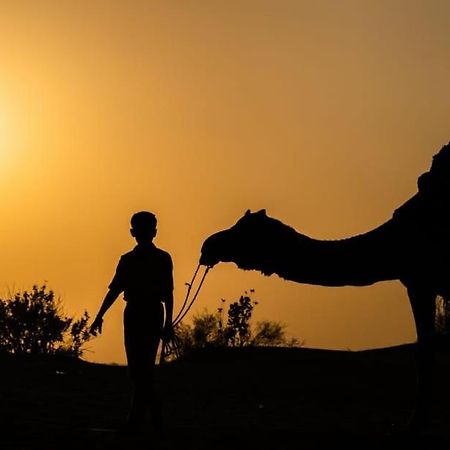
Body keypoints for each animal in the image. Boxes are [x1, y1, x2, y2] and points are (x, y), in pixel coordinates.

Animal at [200, 142, 450, 428]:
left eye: (242, 229)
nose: (208, 245)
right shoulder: (420, 282)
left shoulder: (421, 280)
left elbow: (425, 351)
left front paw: (415, 423)